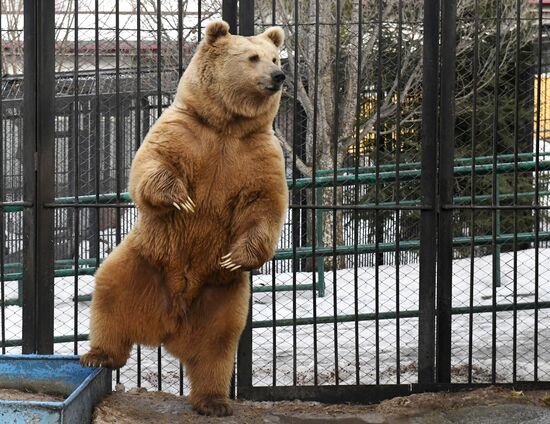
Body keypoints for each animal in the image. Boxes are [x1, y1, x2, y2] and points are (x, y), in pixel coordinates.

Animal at [81, 20, 288, 418]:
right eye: (252, 57)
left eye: (275, 57)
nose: (278, 76)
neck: (227, 126)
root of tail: (168, 325)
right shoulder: (183, 132)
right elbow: (151, 167)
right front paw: (182, 199)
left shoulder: (259, 153)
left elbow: (263, 206)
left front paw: (236, 256)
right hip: (143, 262)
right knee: (110, 297)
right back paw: (98, 356)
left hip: (222, 296)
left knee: (217, 347)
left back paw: (214, 401)